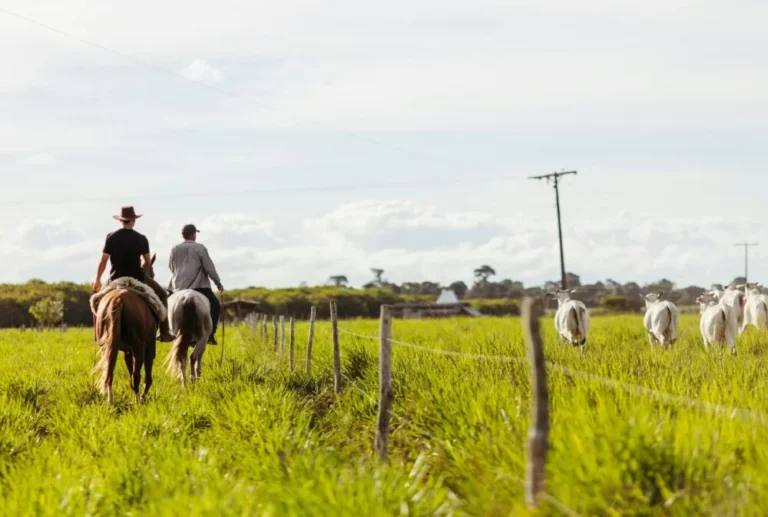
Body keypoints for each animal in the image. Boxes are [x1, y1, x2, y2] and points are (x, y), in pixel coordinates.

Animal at [93, 254, 159, 404]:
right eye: (153, 271)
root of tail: (118, 299)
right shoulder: (149, 346)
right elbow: (147, 375)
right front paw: (143, 396)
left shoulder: (126, 351)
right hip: (139, 348)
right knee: (136, 376)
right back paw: (138, 401)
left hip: (107, 347)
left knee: (109, 371)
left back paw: (110, 401)